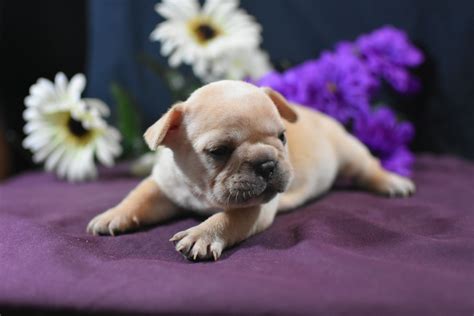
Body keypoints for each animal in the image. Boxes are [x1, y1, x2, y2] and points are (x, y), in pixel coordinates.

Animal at [87, 80, 412, 260]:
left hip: (350, 152)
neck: (201, 190)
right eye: (219, 151)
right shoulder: (163, 186)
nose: (267, 163)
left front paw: (203, 234)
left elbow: (228, 218)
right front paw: (113, 214)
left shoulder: (254, 208)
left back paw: (392, 182)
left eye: (282, 137)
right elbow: (139, 196)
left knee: (368, 168)